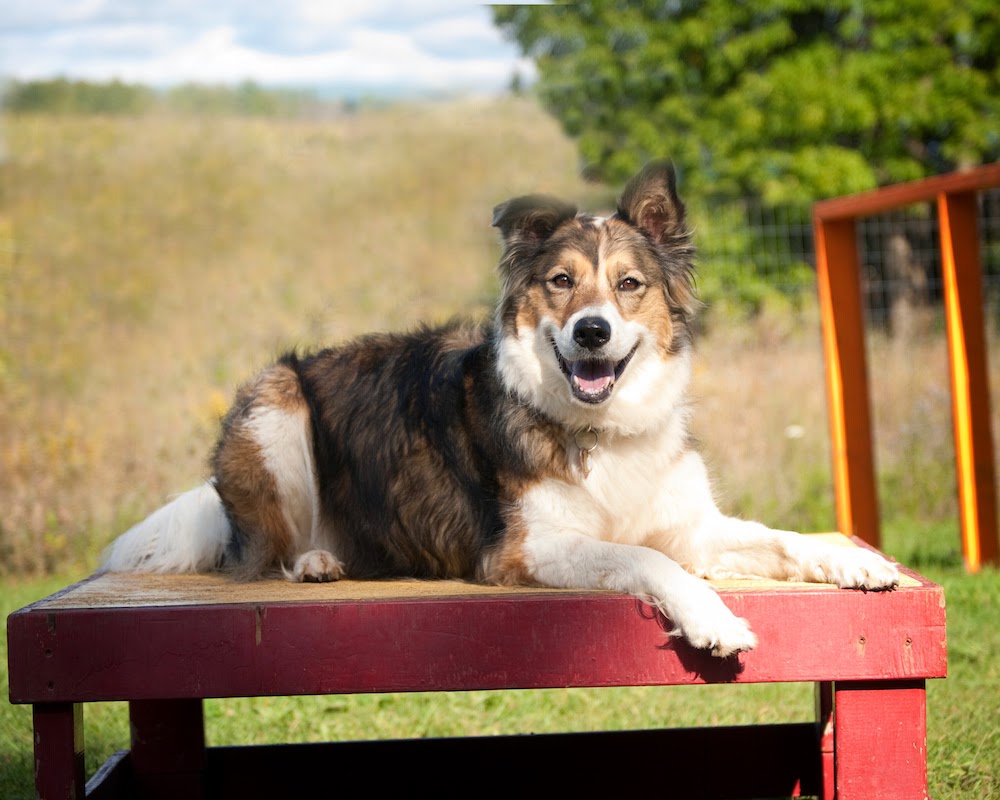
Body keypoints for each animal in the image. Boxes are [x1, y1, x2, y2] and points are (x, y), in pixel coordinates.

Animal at [105, 161, 904, 656]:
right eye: (561, 282)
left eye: (629, 285)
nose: (592, 331)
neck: (601, 430)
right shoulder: (522, 548)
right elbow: (643, 557)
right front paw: (715, 620)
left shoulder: (691, 526)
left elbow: (778, 538)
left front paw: (853, 561)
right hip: (276, 406)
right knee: (267, 551)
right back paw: (315, 562)